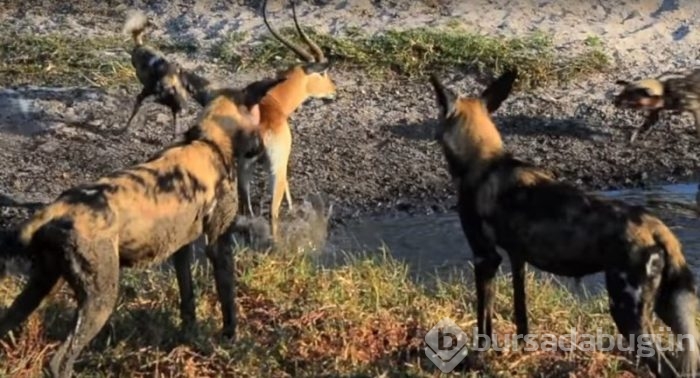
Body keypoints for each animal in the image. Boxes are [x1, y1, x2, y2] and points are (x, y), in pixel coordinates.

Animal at [0, 75, 284, 376]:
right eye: (259, 119)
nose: (260, 149)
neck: (207, 140)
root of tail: (57, 209)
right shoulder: (219, 244)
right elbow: (228, 297)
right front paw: (231, 337)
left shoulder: (180, 248)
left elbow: (188, 299)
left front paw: (189, 336)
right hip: (100, 300)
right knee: (58, 363)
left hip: (41, 286)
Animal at [238, 0, 340, 242]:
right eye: (322, 73)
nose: (334, 92)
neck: (272, 101)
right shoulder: (283, 162)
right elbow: (288, 190)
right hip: (274, 169)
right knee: (272, 212)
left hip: (242, 169)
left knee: (247, 209)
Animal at [430, 69, 700, 376]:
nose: (433, 134)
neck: (486, 162)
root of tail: (657, 229)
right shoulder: (517, 259)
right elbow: (521, 317)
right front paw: (522, 353)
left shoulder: (484, 258)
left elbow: (483, 322)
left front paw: (476, 361)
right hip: (669, 308)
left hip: (627, 313)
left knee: (664, 366)